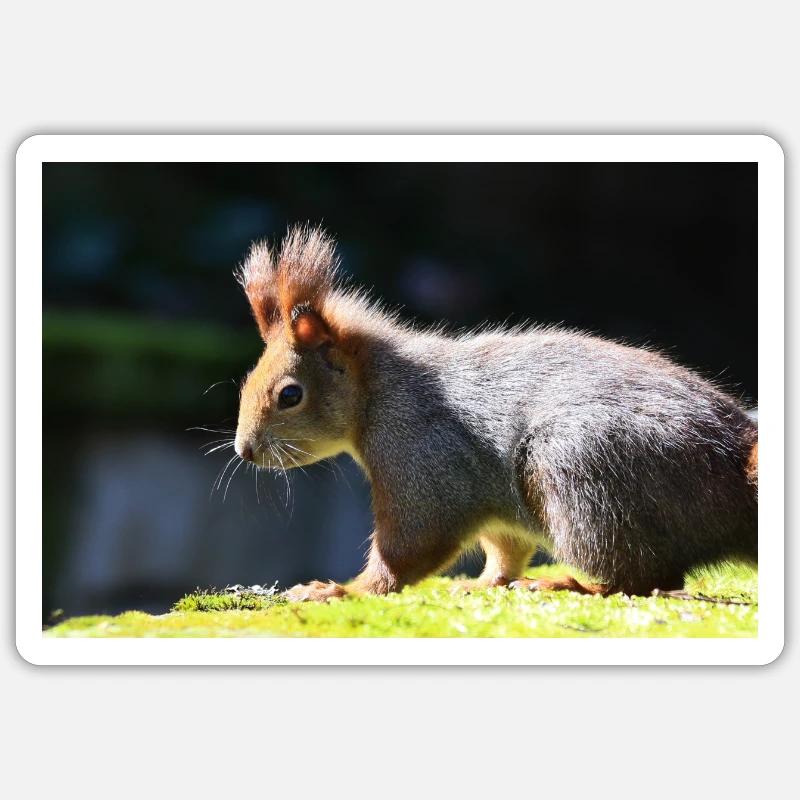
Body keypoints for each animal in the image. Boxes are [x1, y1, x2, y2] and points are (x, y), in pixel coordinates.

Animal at [233, 225, 758, 602]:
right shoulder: (493, 506)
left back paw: (571, 583)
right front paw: (485, 582)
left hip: (581, 467)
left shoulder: (424, 457)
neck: (379, 390)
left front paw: (341, 590)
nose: (244, 450)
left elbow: (409, 547)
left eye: (290, 394)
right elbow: (505, 548)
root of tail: (733, 462)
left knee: (648, 577)